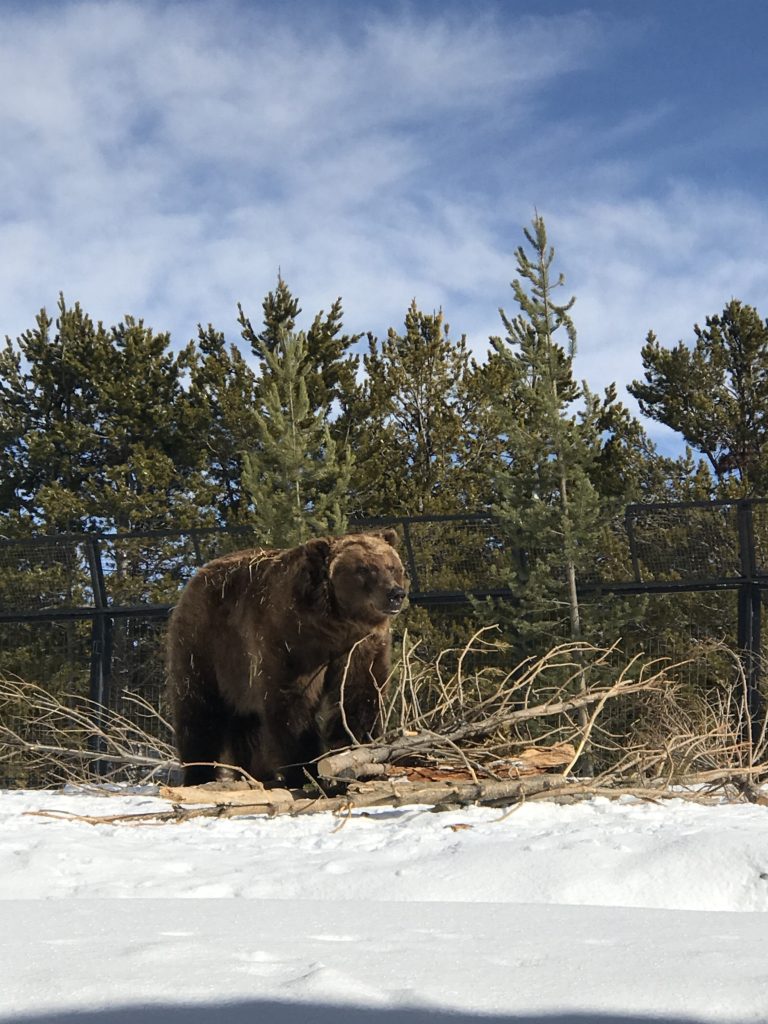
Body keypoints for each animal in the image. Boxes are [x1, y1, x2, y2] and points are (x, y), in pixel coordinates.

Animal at [166, 532, 409, 786]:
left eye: (392, 566)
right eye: (363, 568)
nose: (395, 594)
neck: (336, 627)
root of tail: (196, 577)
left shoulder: (359, 647)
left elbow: (359, 695)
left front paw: (359, 754)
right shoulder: (291, 643)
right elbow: (293, 705)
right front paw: (304, 770)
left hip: (238, 675)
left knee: (247, 725)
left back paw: (256, 773)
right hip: (204, 647)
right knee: (199, 712)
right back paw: (198, 774)